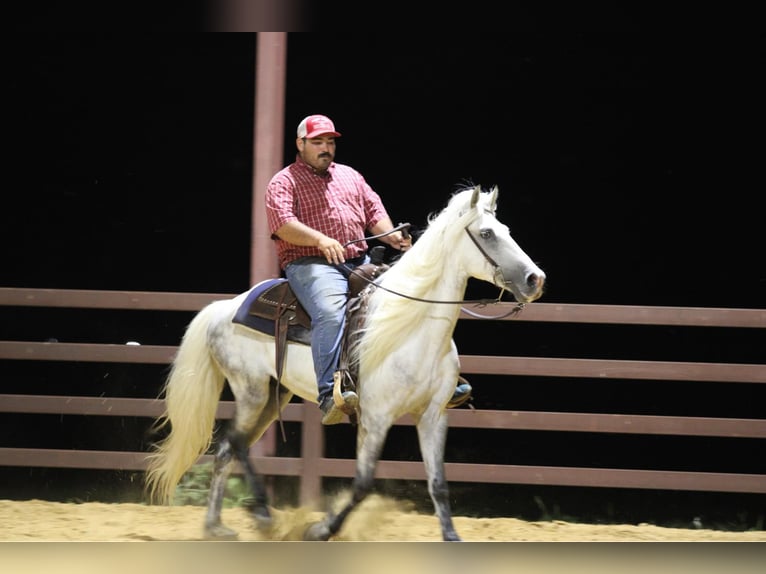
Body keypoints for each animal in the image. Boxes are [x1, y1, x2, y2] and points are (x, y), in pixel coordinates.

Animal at [145, 184, 546, 541]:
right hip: (252, 391)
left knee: (227, 449)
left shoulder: (433, 415)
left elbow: (438, 483)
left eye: (506, 231)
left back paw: (216, 526)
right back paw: (261, 514)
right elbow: (363, 484)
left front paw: (451, 536)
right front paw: (321, 530)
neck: (412, 328)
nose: (535, 279)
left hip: (274, 395)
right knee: (236, 442)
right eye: (487, 233)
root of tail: (222, 308)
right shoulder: (376, 418)